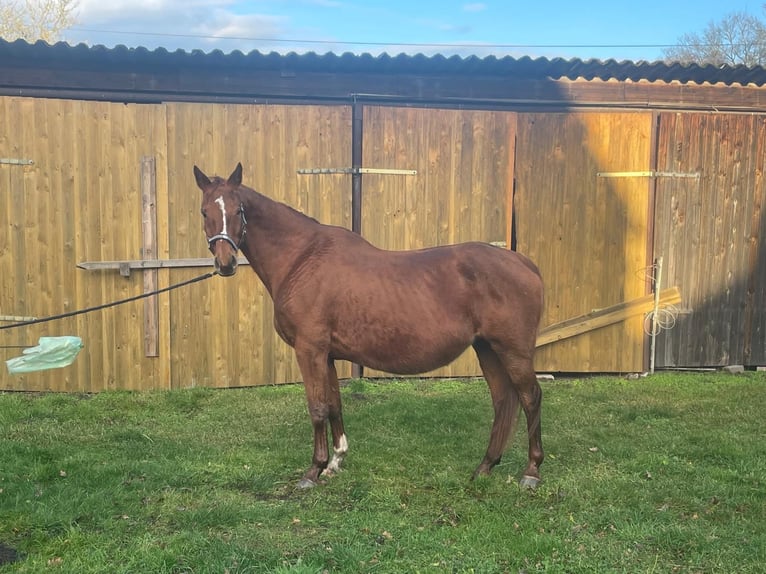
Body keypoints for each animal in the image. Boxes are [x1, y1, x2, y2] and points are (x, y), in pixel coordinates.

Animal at [195, 162, 548, 490]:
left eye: (238, 210)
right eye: (204, 211)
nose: (225, 263)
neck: (301, 259)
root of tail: (524, 263)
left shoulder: (310, 350)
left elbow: (317, 407)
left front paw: (313, 471)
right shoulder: (327, 355)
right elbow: (334, 404)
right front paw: (335, 462)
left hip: (513, 351)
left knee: (530, 397)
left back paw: (531, 472)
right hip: (487, 349)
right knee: (503, 400)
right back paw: (484, 467)